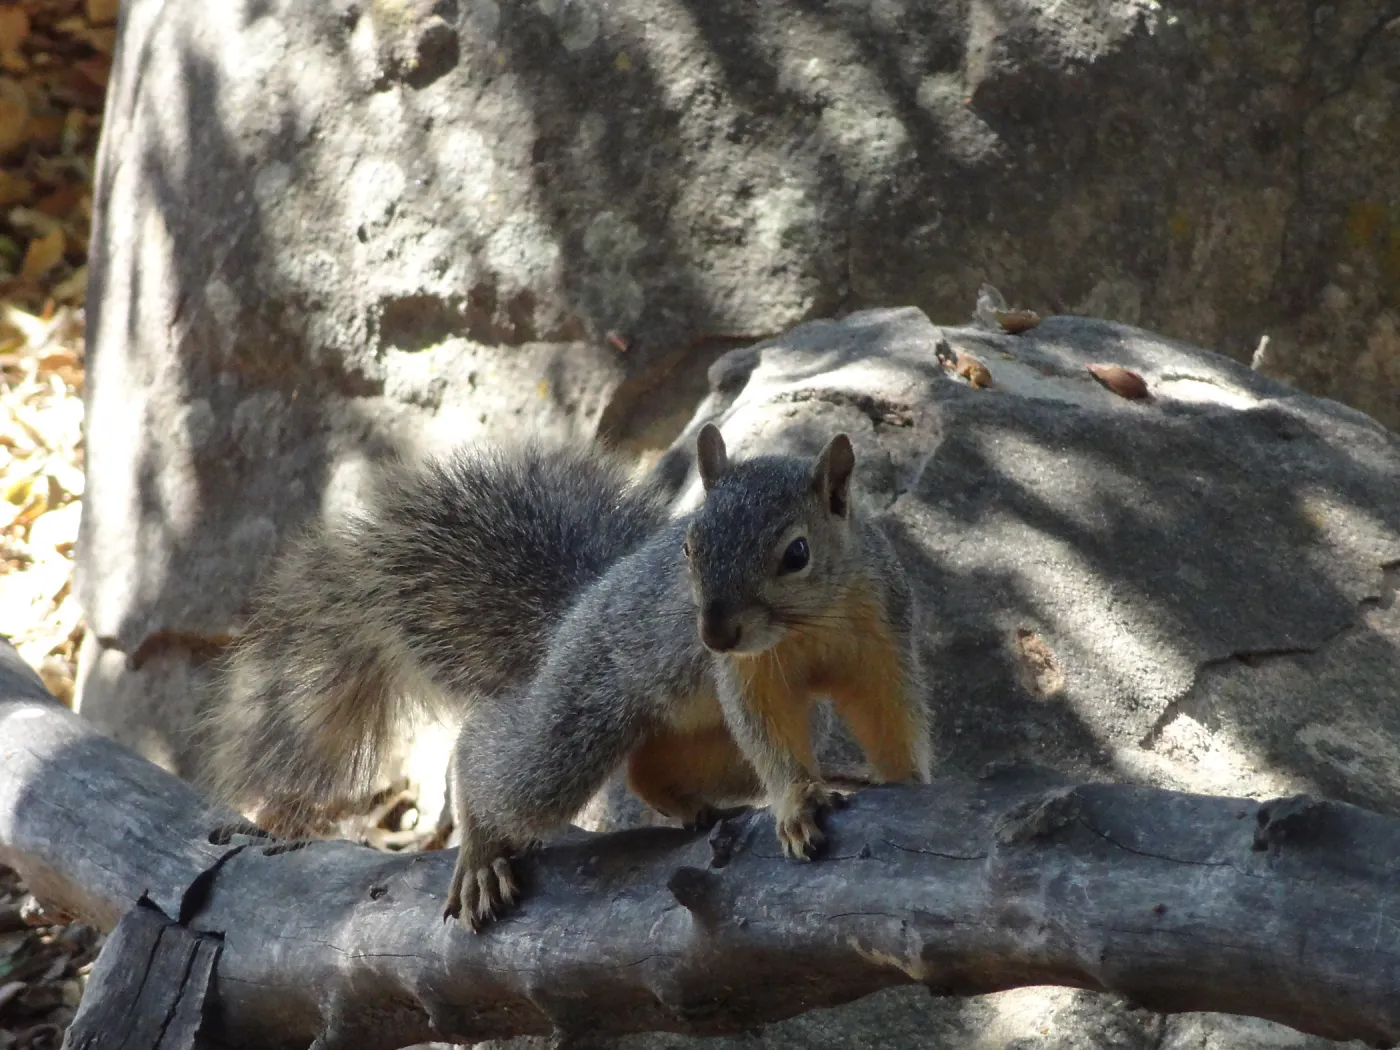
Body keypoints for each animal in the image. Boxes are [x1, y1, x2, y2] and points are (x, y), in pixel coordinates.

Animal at [203, 423, 931, 931]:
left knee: (648, 767)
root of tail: (571, 615)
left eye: (796, 553)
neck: (809, 626)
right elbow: (770, 735)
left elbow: (891, 710)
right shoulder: (746, 677)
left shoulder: (883, 637)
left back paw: (695, 807)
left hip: (708, 733)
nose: (713, 634)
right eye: (689, 546)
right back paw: (481, 851)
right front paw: (797, 801)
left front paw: (909, 781)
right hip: (581, 709)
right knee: (501, 759)